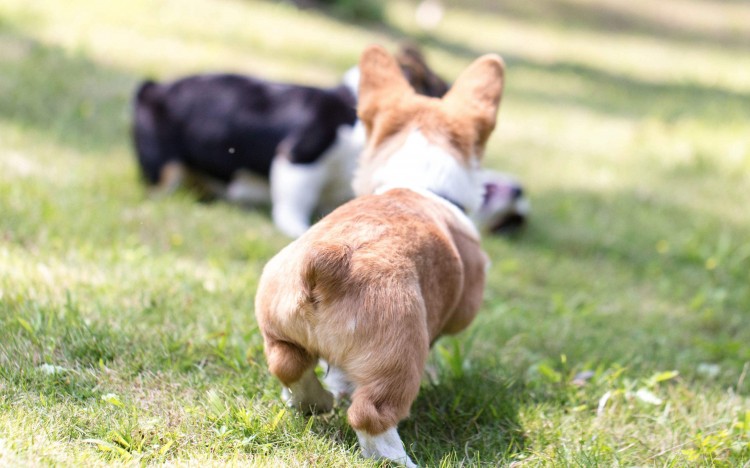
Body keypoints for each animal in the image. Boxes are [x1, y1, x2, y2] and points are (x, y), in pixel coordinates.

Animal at [256, 44, 508, 468]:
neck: (420, 179)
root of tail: (330, 263)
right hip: (399, 359)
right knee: (370, 414)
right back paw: (397, 458)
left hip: (277, 328)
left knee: (288, 364)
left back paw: (313, 401)